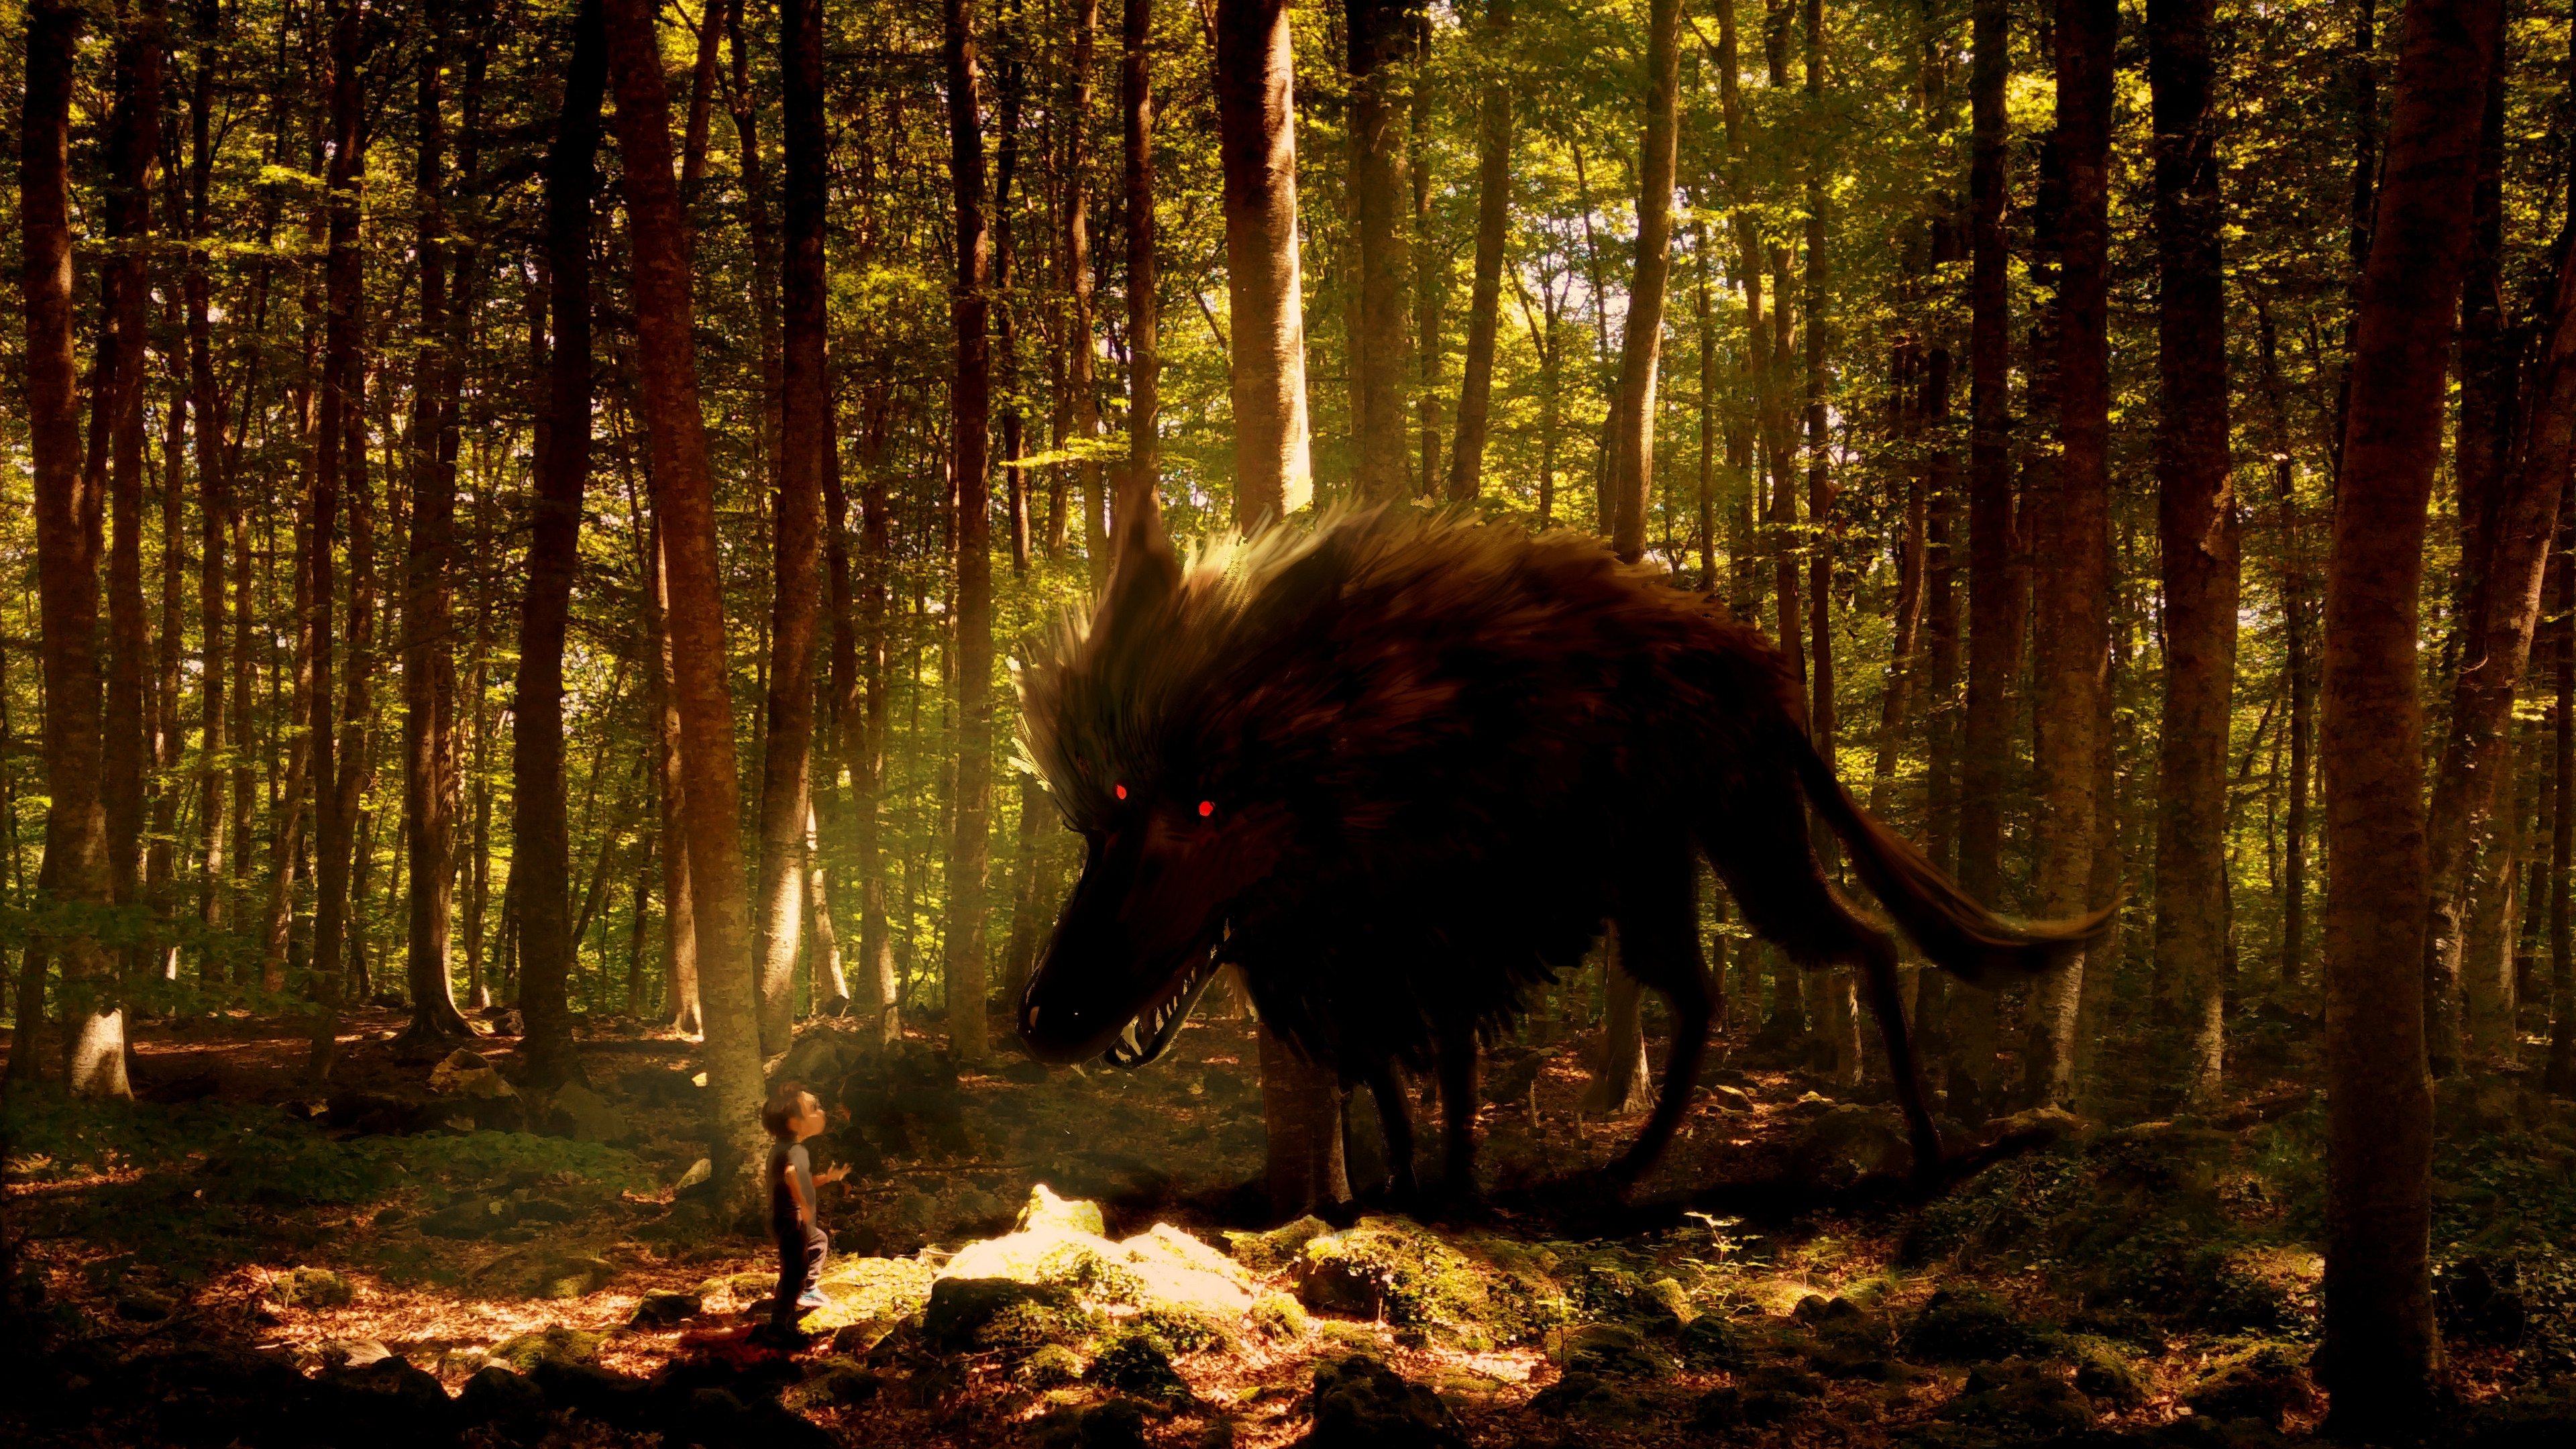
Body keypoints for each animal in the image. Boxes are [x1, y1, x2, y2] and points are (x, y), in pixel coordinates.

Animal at [1014, 505, 2108, 1196]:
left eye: (1205, 805)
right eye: (1105, 810)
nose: (1043, 1020)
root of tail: (1769, 677)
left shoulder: (1445, 941)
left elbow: (1448, 1080)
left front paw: (1449, 1196)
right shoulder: (1373, 964)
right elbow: (1390, 1087)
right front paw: (1393, 1190)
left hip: (1741, 842)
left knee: (1863, 945)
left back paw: (1919, 1155)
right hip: (1663, 869)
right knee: (1708, 989)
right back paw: (1625, 1173)